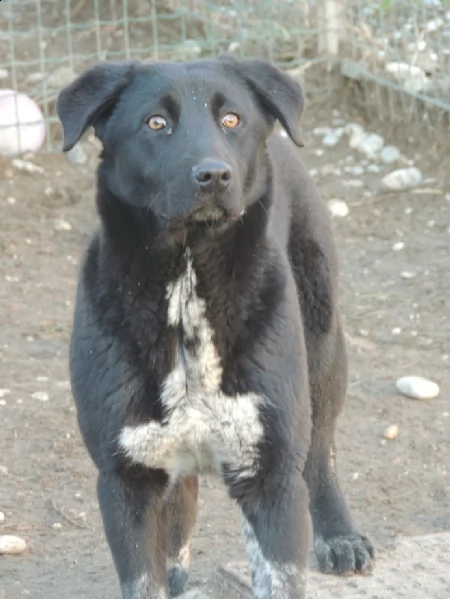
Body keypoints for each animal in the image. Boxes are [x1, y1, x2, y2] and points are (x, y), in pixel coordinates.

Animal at [57, 57, 372, 599]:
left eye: (232, 120)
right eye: (156, 123)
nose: (214, 174)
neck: (187, 287)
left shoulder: (271, 476)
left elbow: (281, 574)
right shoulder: (126, 479)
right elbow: (146, 575)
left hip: (323, 353)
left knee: (321, 452)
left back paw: (339, 535)